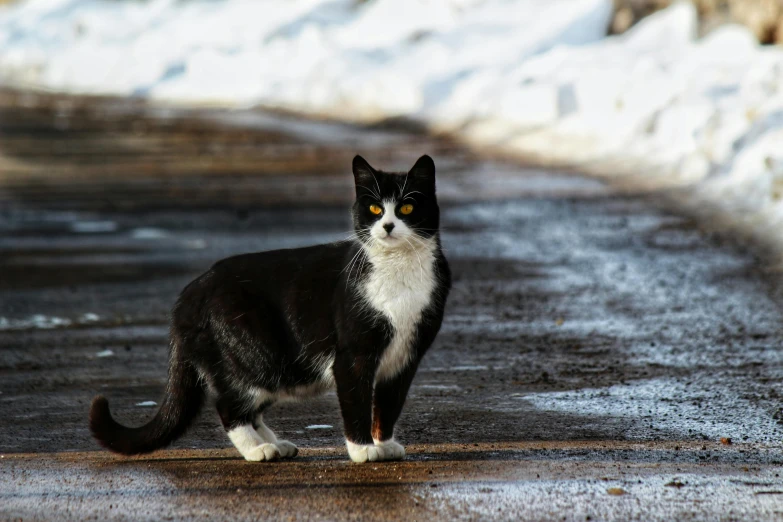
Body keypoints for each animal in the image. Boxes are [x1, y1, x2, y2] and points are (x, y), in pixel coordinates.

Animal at [89, 152, 450, 462]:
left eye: (406, 208)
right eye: (374, 209)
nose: (387, 226)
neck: (398, 269)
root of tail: (190, 293)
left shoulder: (406, 356)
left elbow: (388, 405)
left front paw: (384, 444)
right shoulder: (353, 355)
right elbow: (357, 400)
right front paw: (363, 450)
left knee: (250, 407)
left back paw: (275, 444)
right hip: (255, 352)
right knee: (230, 405)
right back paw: (257, 450)